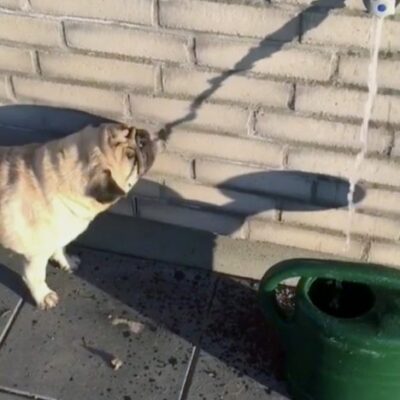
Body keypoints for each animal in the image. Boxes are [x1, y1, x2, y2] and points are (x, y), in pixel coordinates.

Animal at [0, 123, 161, 310]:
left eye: (128, 128)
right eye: (130, 156)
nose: (143, 138)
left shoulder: (59, 234)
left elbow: (60, 248)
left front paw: (67, 262)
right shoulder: (36, 255)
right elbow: (35, 277)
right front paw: (43, 296)